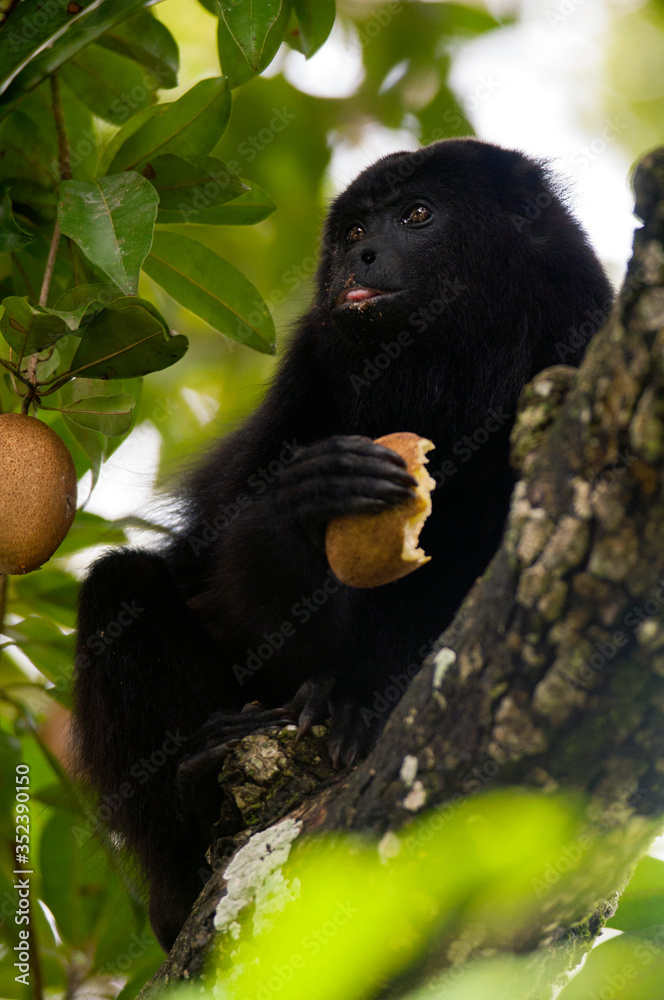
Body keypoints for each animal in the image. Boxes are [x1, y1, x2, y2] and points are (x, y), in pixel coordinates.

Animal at [72, 138, 613, 950]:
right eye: (355, 228)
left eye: (416, 214)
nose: (362, 253)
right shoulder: (311, 367)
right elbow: (230, 588)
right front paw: (303, 505)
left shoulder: (580, 333)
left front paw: (365, 702)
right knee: (121, 588)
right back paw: (193, 817)